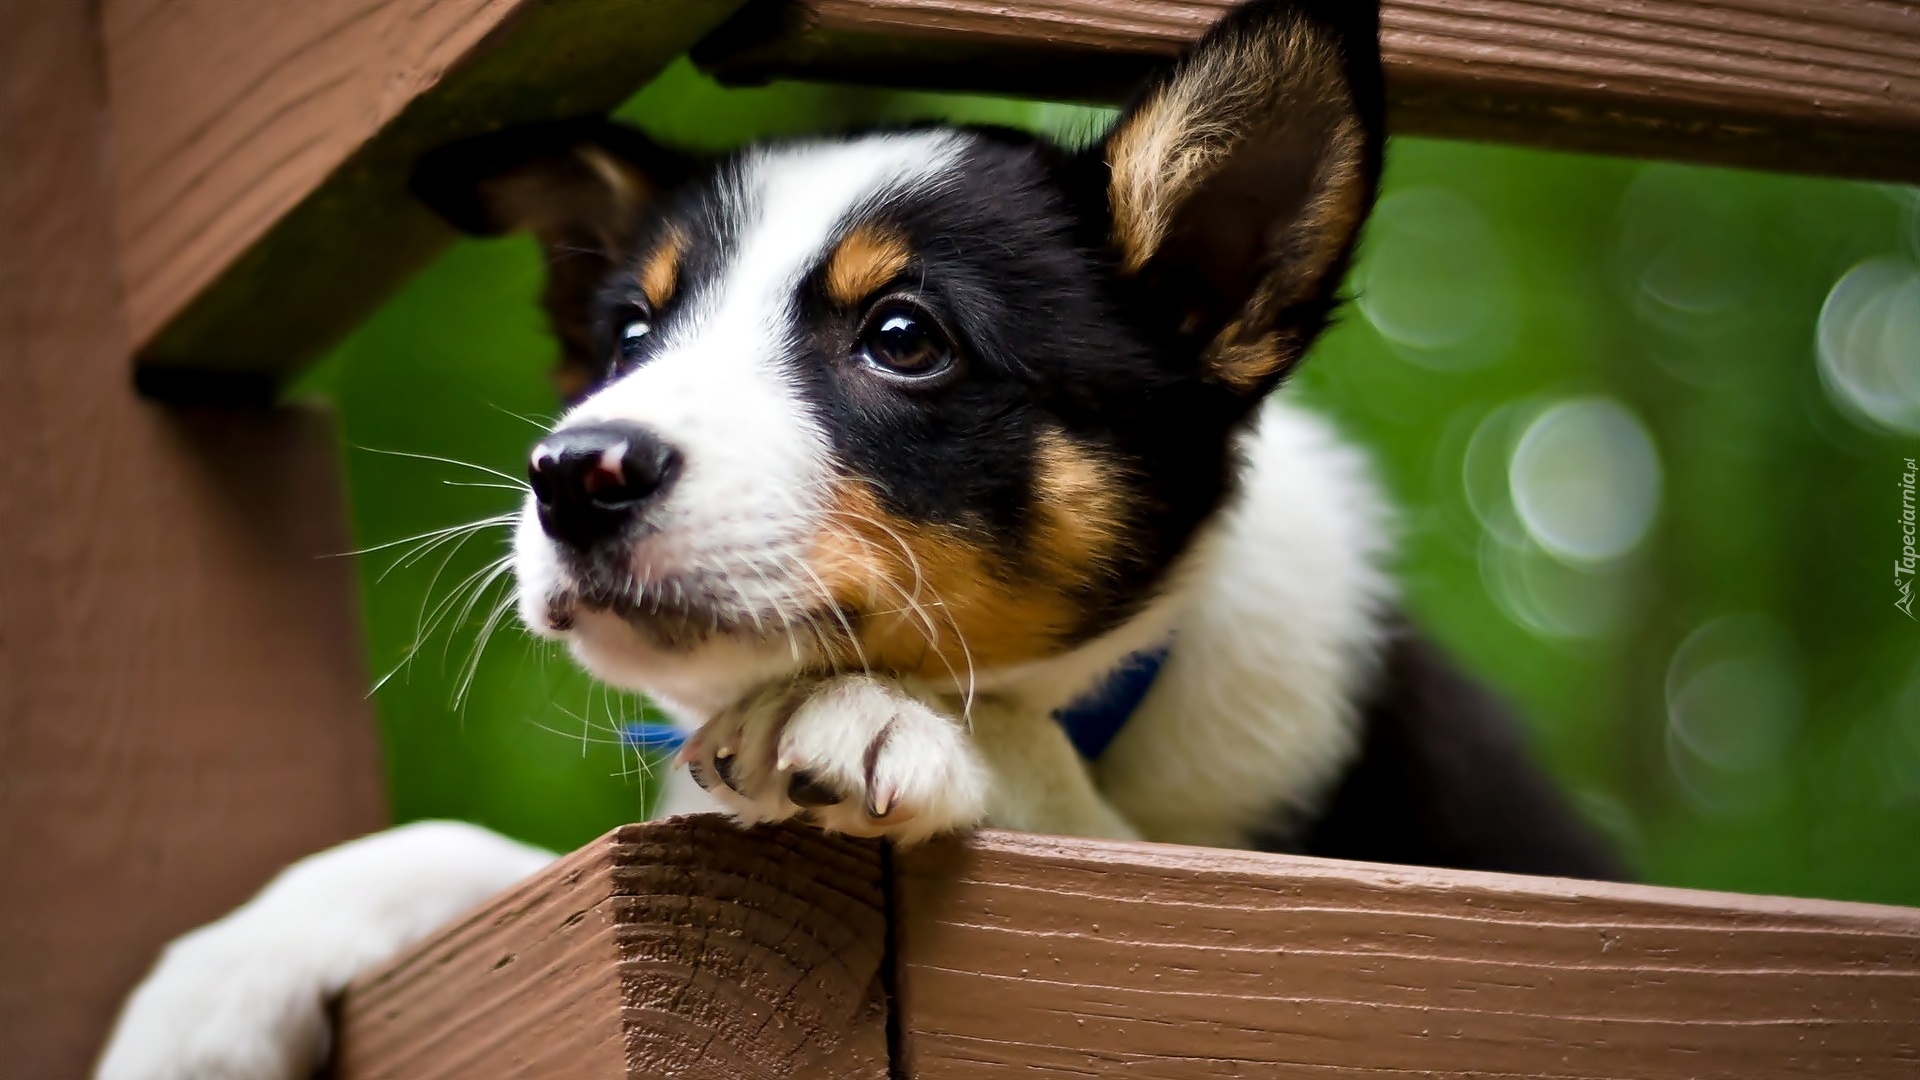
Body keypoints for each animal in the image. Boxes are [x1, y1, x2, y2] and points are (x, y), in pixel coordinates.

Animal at [93, 4, 1620, 1068]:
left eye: (902, 336)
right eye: (629, 334)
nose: (574, 473)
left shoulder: (1379, 899)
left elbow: (1081, 808)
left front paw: (880, 716)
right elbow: (480, 857)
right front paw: (218, 984)